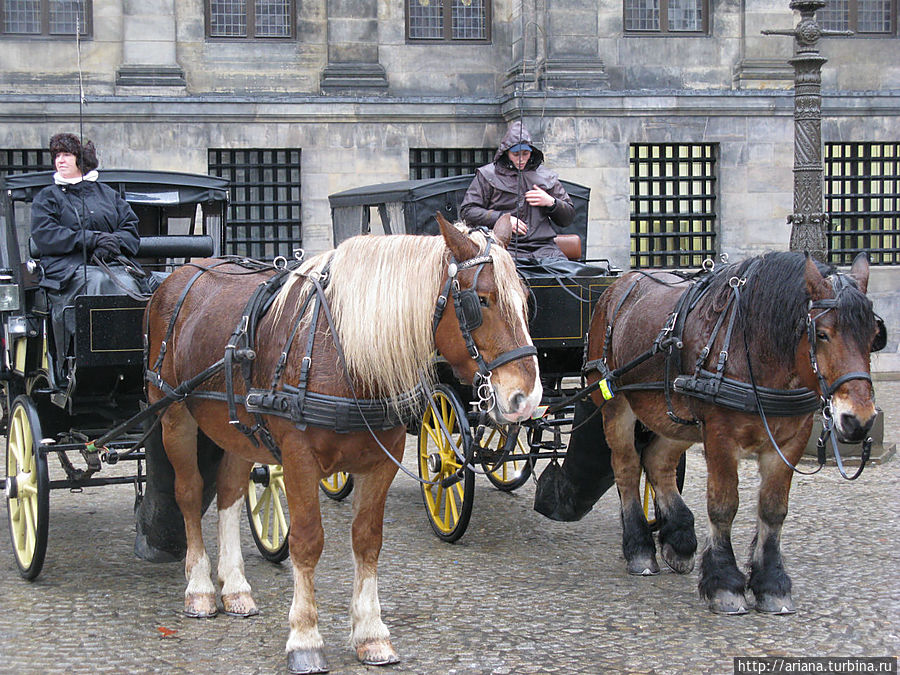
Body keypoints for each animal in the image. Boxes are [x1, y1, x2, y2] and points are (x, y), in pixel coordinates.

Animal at [146, 215, 540, 672]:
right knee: (190, 494)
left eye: (527, 300)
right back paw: (200, 588)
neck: (345, 354)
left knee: (228, 494)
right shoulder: (298, 460)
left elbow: (367, 541)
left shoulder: (380, 462)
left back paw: (236, 587)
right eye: (482, 300)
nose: (527, 397)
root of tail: (179, 274)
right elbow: (306, 542)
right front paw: (304, 637)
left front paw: (370, 633)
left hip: (236, 427)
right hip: (174, 415)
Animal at [584, 251, 880, 616]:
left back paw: (679, 539)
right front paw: (725, 582)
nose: (859, 420)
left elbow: (773, 510)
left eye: (874, 335)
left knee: (657, 461)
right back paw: (639, 548)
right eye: (822, 334)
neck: (751, 346)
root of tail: (618, 286)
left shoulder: (790, 441)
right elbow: (723, 506)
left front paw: (772, 584)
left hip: (675, 416)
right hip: (617, 406)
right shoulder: (720, 436)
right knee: (626, 468)